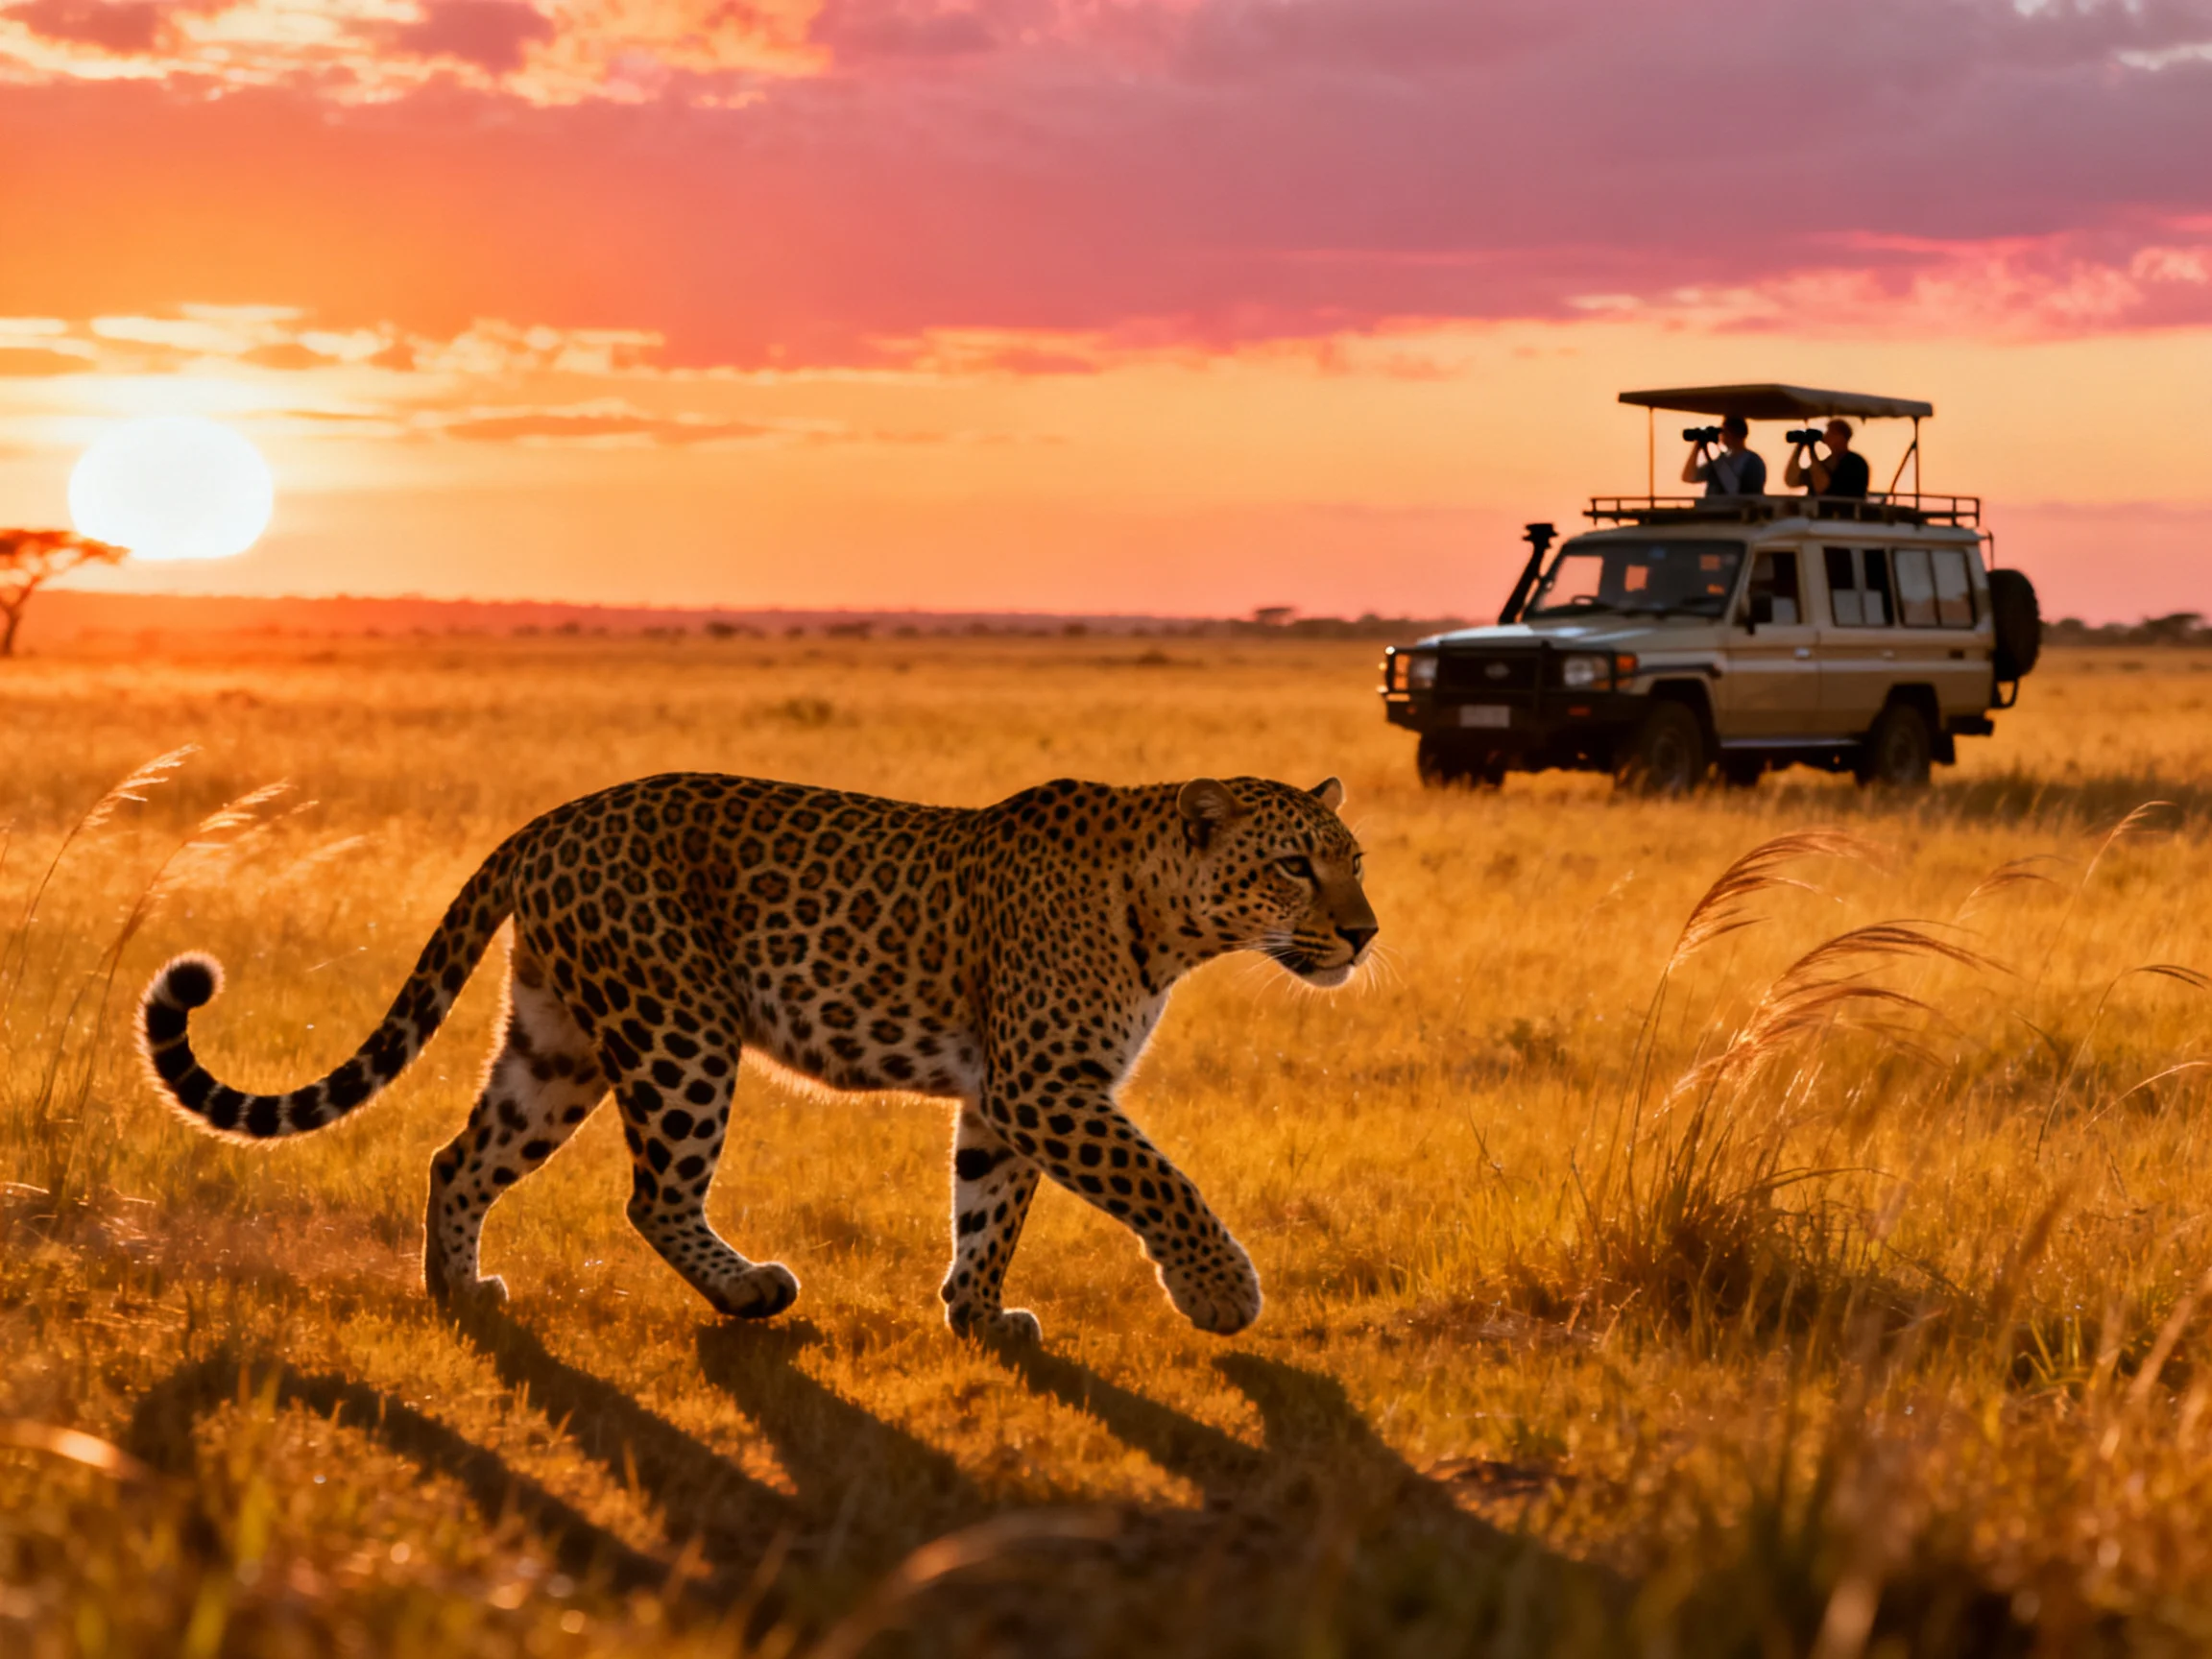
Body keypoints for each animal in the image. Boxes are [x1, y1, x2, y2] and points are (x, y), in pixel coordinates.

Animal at [138, 771, 1378, 1341]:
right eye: (1294, 867)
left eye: (1354, 860)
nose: (1366, 933)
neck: (1171, 923)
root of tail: (554, 818)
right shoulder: (1047, 1085)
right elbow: (1162, 1183)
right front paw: (1221, 1293)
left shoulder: (1007, 1096)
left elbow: (991, 1208)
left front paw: (977, 1315)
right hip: (678, 1031)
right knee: (653, 1194)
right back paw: (746, 1291)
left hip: (557, 1042)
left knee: (460, 1156)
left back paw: (458, 1292)